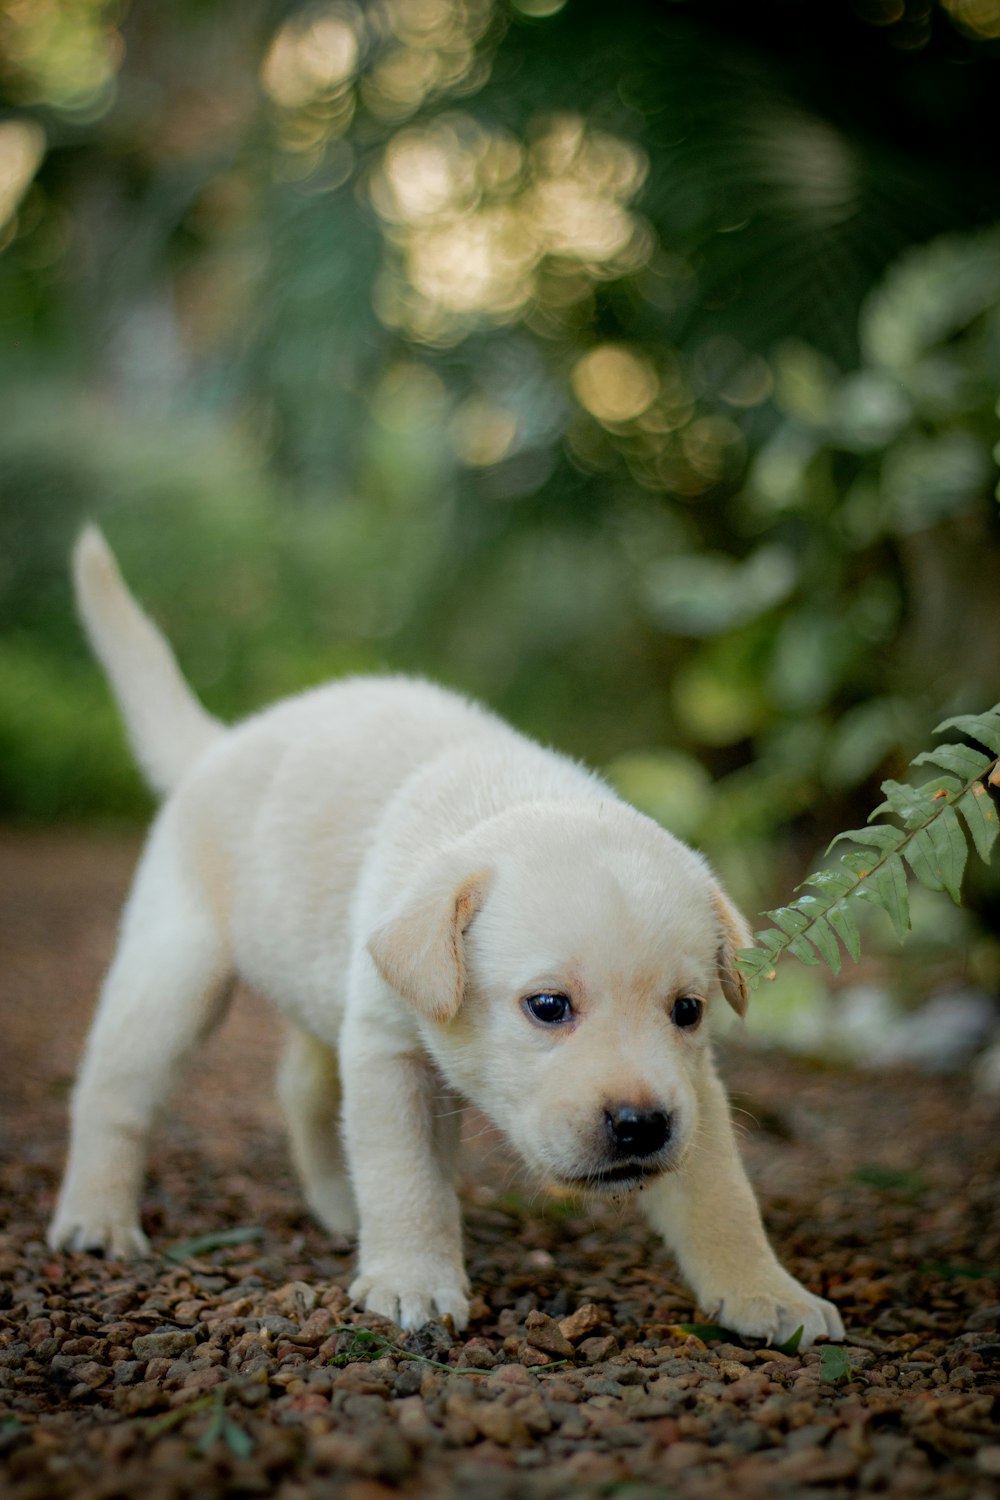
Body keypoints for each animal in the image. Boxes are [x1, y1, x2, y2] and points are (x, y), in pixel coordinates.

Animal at [46, 528, 845, 1350]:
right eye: (548, 1006)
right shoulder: (389, 1053)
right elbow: (407, 1180)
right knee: (114, 1093)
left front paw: (765, 1291)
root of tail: (219, 744)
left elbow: (722, 1192)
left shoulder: (693, 1085)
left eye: (688, 1011)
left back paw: (338, 1206)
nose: (641, 1125)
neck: (512, 801)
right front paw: (413, 1282)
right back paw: (96, 1219)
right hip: (174, 970)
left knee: (301, 1087)